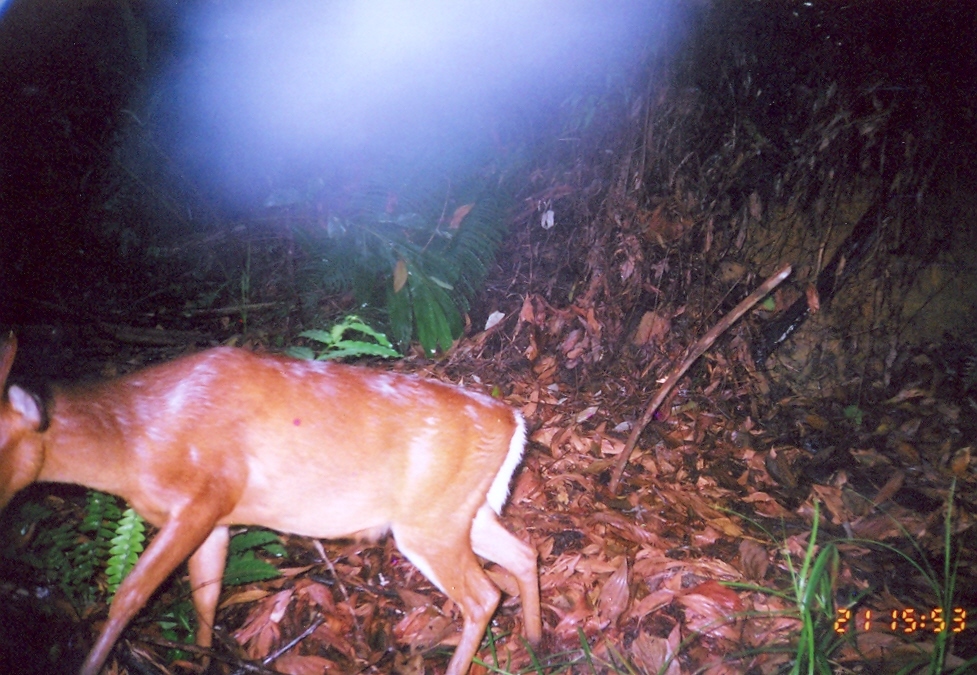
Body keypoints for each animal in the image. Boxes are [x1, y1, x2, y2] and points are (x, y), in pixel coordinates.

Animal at [0, 336, 540, 672]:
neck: (132, 442)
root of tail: (511, 419)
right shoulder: (216, 518)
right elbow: (206, 593)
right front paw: (200, 661)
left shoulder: (203, 497)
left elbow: (130, 594)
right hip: (458, 513)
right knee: (523, 554)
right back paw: (536, 642)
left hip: (428, 524)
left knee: (484, 595)